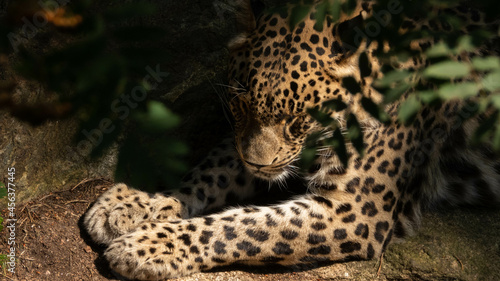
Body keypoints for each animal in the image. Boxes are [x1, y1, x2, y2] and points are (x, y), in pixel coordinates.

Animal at [82, 1, 500, 278]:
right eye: (240, 104)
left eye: (299, 119)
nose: (257, 163)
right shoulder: (249, 145)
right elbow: (213, 170)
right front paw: (132, 203)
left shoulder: (353, 211)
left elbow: (244, 227)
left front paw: (149, 246)